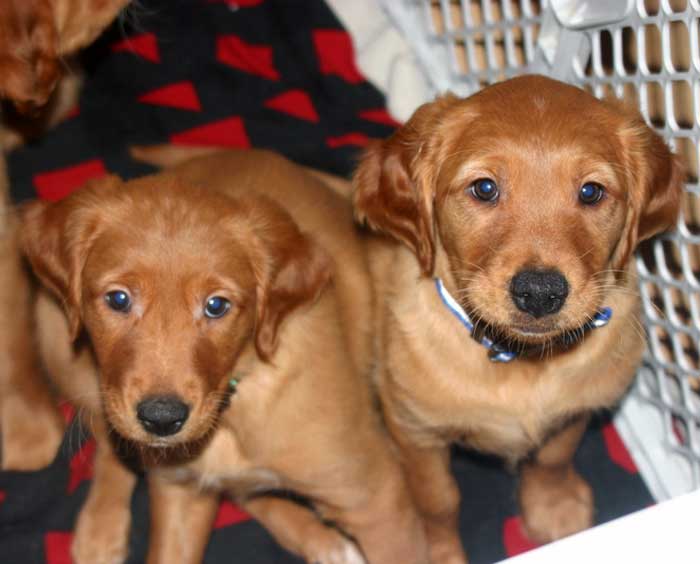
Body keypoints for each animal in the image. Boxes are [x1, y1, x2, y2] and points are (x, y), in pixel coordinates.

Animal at [21, 150, 430, 564]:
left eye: (216, 306)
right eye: (118, 299)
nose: (161, 419)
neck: (235, 400)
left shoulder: (378, 500)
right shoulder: (178, 495)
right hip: (56, 329)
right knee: (108, 439)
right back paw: (100, 530)